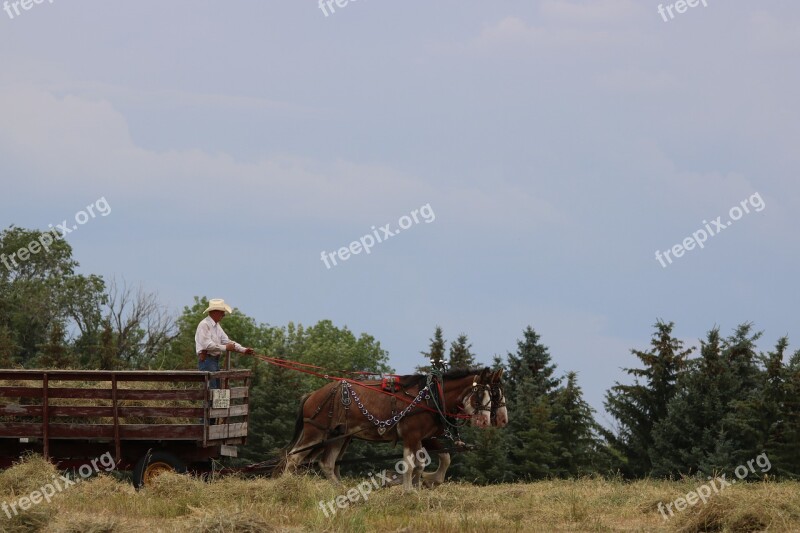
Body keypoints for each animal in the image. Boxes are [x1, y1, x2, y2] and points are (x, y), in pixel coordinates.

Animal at [282, 368, 494, 488]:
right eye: (479, 394)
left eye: (492, 394)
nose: (485, 421)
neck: (428, 397)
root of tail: (312, 395)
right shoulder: (411, 435)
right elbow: (410, 465)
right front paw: (409, 492)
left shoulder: (421, 438)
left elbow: (425, 463)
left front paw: (420, 486)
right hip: (316, 432)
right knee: (293, 458)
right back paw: (285, 488)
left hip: (339, 436)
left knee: (327, 463)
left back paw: (340, 490)